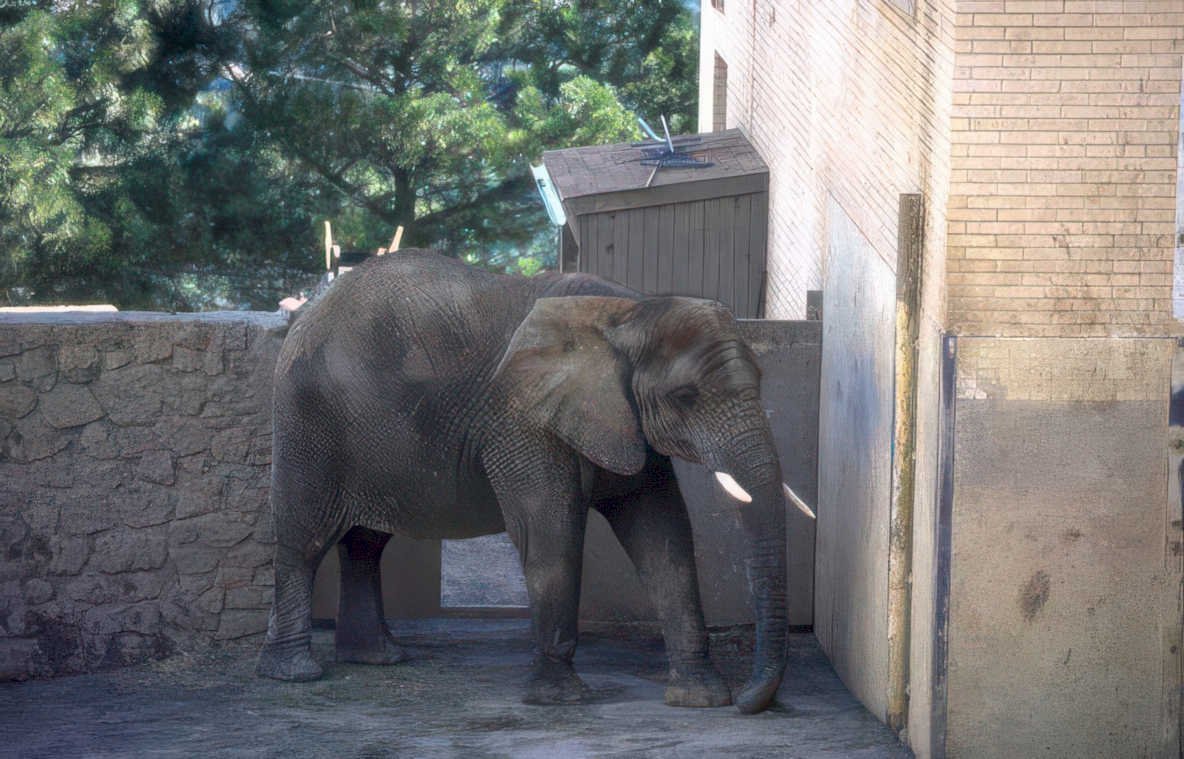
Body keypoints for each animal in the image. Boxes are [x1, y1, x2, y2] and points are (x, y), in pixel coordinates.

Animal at [256, 250, 789, 714]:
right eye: (685, 396)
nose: (751, 702)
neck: (630, 312)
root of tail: (306, 313)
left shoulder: (623, 418)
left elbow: (663, 534)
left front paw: (700, 697)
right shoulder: (523, 419)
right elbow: (551, 534)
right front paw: (560, 699)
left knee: (365, 544)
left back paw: (378, 658)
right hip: (308, 418)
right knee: (305, 538)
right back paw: (296, 672)